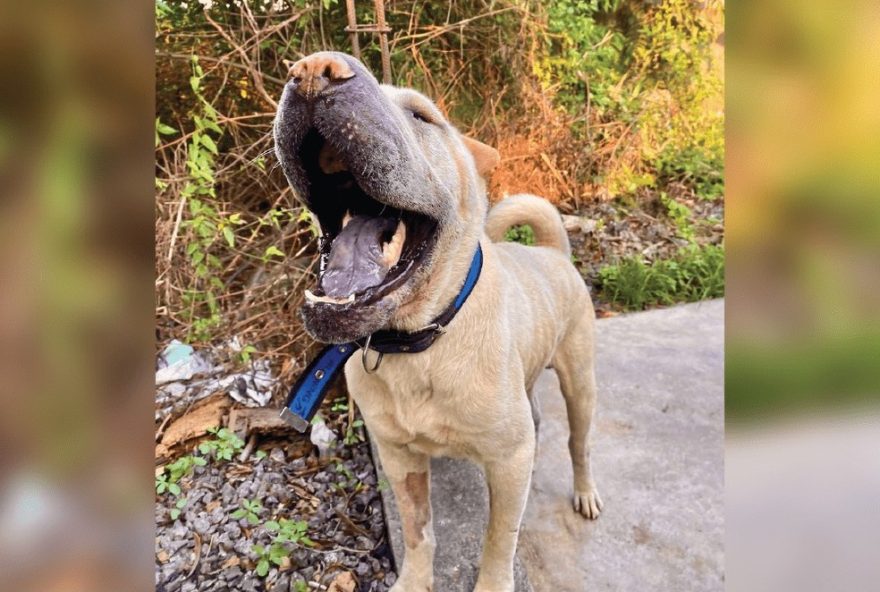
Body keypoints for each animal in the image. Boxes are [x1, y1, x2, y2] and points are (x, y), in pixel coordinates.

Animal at [276, 52, 600, 592]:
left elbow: (499, 539)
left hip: (580, 382)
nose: (312, 70)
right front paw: (414, 580)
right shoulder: (398, 457)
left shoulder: (508, 464)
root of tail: (554, 252)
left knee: (578, 443)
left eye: (422, 117)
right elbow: (418, 530)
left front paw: (492, 584)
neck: (418, 341)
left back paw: (586, 491)